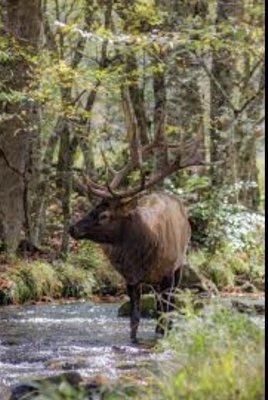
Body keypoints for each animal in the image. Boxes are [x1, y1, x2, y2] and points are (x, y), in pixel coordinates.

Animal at [68, 132, 203, 344]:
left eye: (104, 215)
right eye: (92, 208)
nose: (72, 228)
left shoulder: (169, 272)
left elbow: (166, 310)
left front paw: (164, 335)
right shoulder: (130, 279)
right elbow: (135, 318)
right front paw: (134, 339)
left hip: (179, 265)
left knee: (169, 304)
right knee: (158, 305)